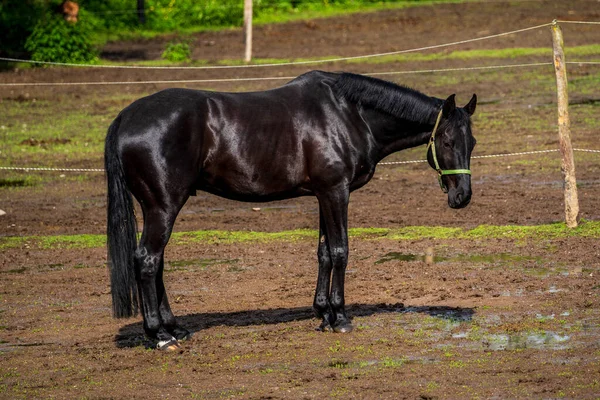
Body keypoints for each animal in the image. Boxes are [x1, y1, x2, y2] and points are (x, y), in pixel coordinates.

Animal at [105, 72, 476, 350]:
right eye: (447, 142)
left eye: (471, 143)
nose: (462, 196)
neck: (348, 115)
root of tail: (125, 118)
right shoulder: (336, 191)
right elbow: (340, 251)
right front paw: (340, 318)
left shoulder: (324, 194)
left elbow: (324, 252)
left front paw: (323, 314)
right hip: (163, 207)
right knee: (148, 261)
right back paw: (160, 336)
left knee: (157, 262)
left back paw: (174, 328)